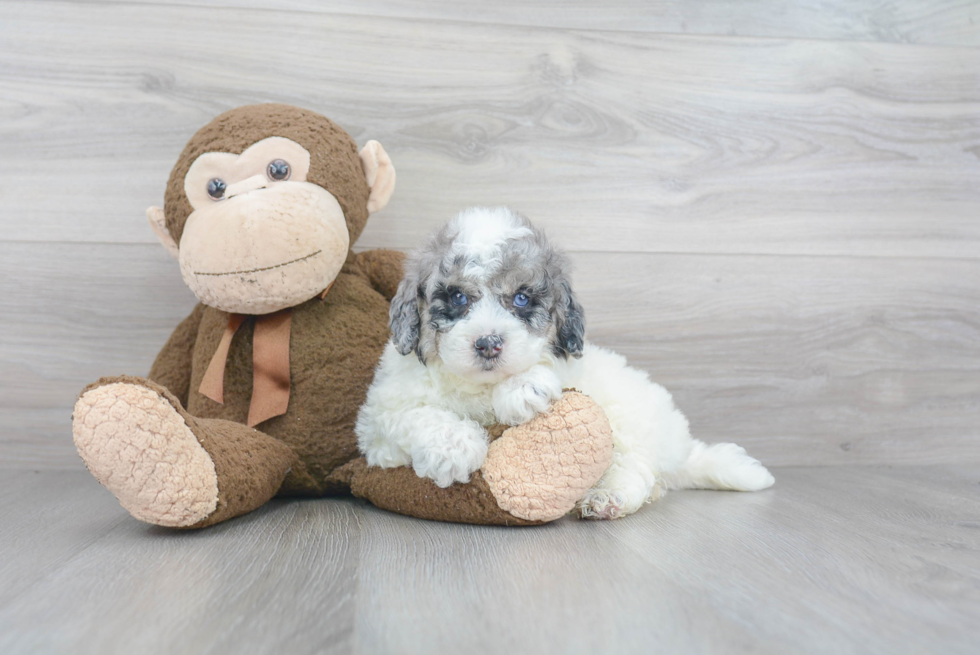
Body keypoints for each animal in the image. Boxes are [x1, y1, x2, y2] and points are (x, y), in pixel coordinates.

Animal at [356, 208, 776, 520]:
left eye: (522, 299)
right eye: (458, 297)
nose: (489, 344)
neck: (480, 388)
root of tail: (682, 447)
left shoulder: (571, 363)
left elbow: (548, 371)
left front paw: (523, 388)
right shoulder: (378, 423)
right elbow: (415, 414)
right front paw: (454, 448)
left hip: (629, 422)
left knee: (636, 468)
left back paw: (607, 498)